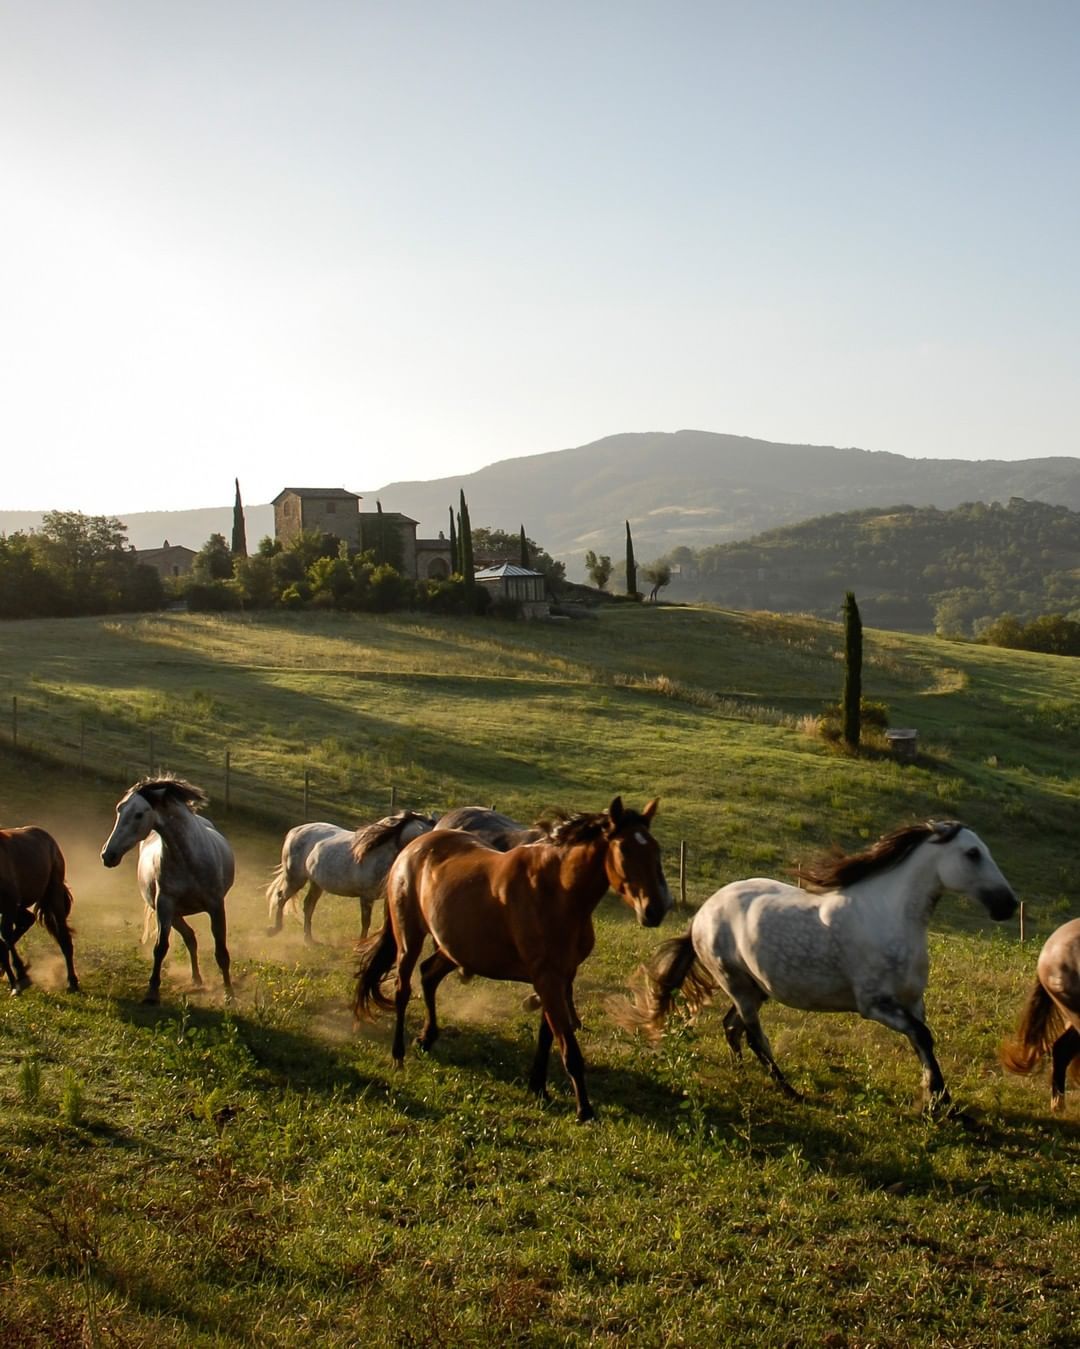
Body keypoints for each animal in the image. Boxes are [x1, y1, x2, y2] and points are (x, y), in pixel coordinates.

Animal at [0, 826, 79, 996]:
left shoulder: (9, 904)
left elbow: (6, 936)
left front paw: (19, 979)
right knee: (27, 920)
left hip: (53, 895)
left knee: (63, 937)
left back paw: (72, 982)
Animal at [101, 776, 235, 1005]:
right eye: (120, 809)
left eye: (138, 814)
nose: (108, 855)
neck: (188, 860)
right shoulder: (165, 905)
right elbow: (160, 948)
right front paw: (152, 992)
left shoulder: (216, 906)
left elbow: (221, 952)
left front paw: (229, 995)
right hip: (174, 914)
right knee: (190, 938)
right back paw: (196, 979)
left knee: (192, 938)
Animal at [266, 810, 436, 942]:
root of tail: (295, 830)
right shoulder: (366, 897)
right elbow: (366, 922)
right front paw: (361, 944)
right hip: (295, 878)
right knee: (281, 897)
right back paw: (274, 930)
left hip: (316, 883)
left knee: (308, 906)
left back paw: (309, 939)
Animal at [353, 796, 672, 1122]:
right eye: (624, 850)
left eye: (656, 849)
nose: (655, 909)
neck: (557, 892)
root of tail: (414, 846)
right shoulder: (547, 978)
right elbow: (568, 1047)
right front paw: (584, 1109)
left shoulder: (561, 976)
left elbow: (548, 1037)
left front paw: (538, 1087)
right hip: (410, 938)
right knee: (403, 989)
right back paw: (398, 1054)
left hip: (456, 947)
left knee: (429, 975)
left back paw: (427, 1038)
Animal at [612, 821, 1017, 1114]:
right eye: (972, 853)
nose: (1009, 905)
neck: (889, 917)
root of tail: (701, 915)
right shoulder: (875, 1005)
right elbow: (922, 1037)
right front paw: (939, 1104)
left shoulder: (913, 1001)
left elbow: (924, 1042)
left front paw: (941, 1101)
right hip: (737, 985)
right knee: (754, 1036)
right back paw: (790, 1091)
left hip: (756, 988)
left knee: (731, 1027)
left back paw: (742, 1074)